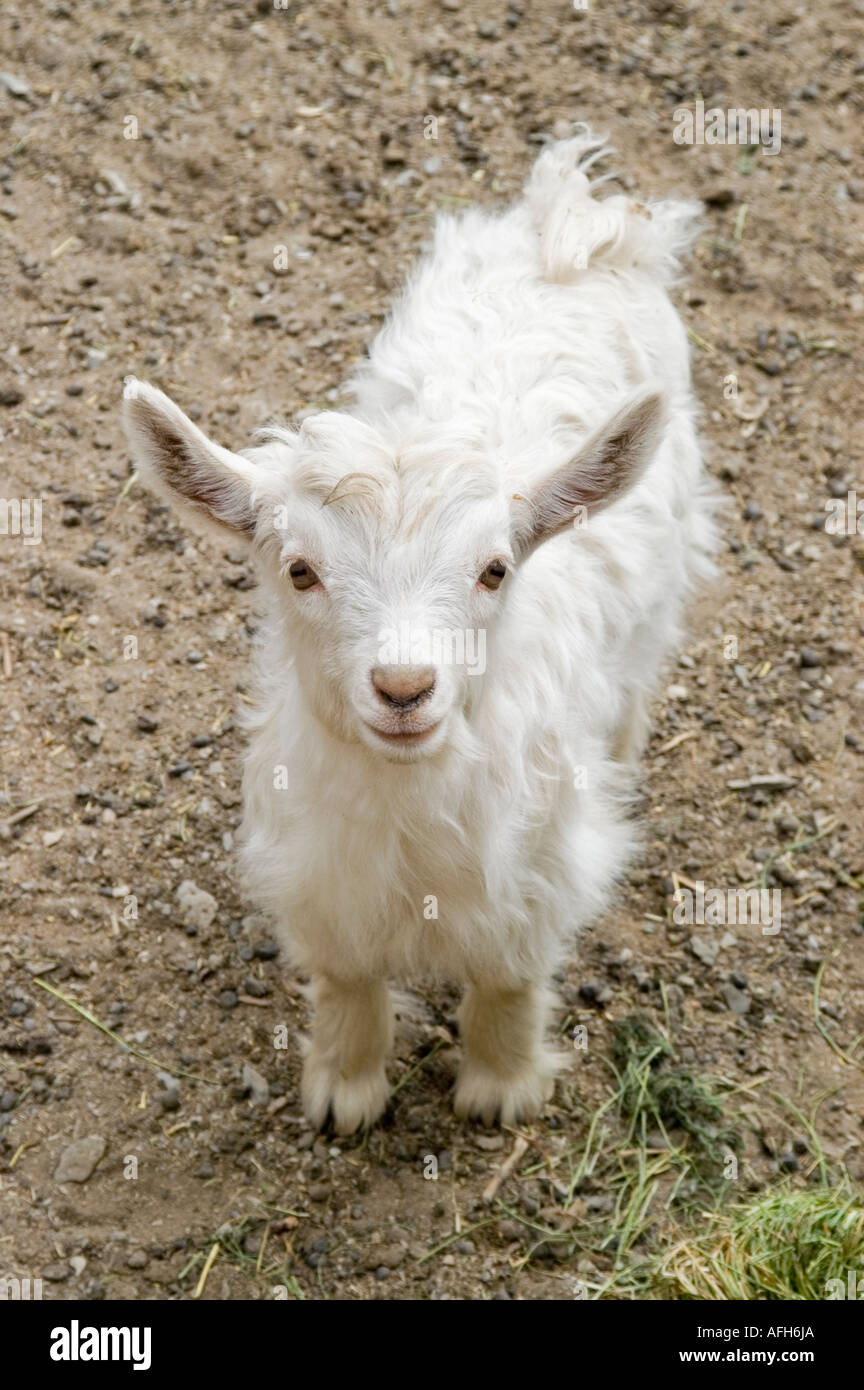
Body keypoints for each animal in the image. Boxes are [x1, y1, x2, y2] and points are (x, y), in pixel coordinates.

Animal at [123, 128, 715, 1134]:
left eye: (495, 569)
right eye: (300, 570)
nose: (404, 690)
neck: (409, 804)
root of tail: (578, 229)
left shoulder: (537, 866)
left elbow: (510, 977)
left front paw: (500, 1090)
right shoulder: (320, 865)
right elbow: (349, 978)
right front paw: (343, 1093)